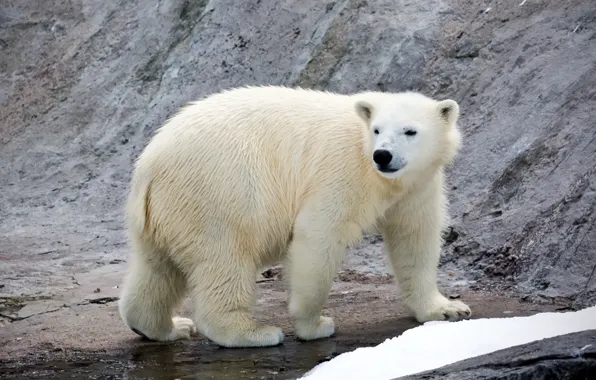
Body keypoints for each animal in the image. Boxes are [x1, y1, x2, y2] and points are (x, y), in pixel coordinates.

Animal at [116, 85, 470, 348]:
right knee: (225, 258)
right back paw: (253, 333)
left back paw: (167, 327)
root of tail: (148, 166)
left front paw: (447, 308)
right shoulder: (341, 171)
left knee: (156, 268)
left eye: (410, 131)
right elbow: (319, 234)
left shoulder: (417, 186)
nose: (382, 155)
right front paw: (315, 325)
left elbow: (415, 239)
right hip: (218, 191)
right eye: (377, 129)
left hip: (167, 210)